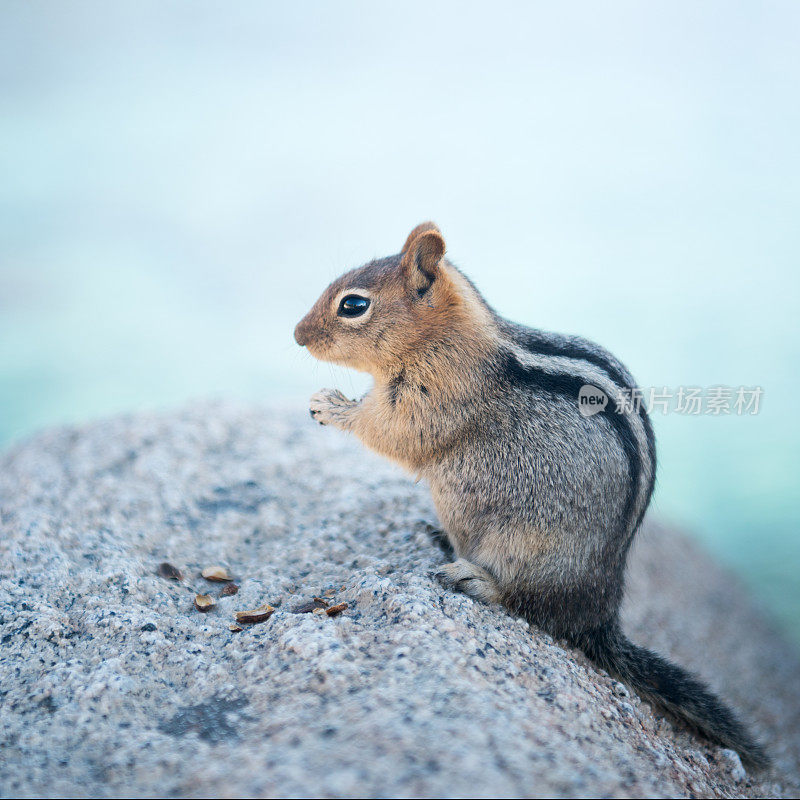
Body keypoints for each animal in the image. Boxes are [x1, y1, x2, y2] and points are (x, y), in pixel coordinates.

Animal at [294, 220, 768, 768]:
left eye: (353, 305)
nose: (297, 335)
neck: (446, 335)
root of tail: (598, 613)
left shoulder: (436, 396)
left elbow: (395, 434)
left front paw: (331, 406)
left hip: (525, 550)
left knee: (528, 605)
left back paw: (475, 578)